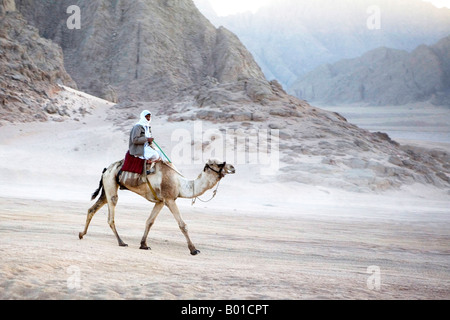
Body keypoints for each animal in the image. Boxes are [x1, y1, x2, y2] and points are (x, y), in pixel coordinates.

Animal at [79, 159, 237, 255]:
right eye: (219, 164)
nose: (233, 167)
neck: (181, 184)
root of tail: (106, 169)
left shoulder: (160, 201)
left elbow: (149, 222)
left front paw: (144, 245)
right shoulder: (170, 199)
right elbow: (182, 225)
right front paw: (193, 250)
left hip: (107, 187)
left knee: (92, 209)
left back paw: (81, 234)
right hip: (111, 185)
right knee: (111, 215)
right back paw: (121, 242)